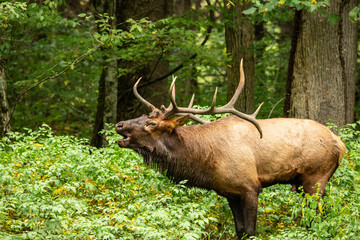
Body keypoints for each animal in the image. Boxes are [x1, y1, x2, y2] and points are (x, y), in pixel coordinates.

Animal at [116, 60, 346, 238]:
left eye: (151, 124)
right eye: (143, 116)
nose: (119, 124)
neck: (207, 161)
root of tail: (339, 143)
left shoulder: (250, 187)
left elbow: (251, 231)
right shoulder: (230, 192)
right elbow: (240, 230)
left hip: (315, 176)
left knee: (316, 217)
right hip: (302, 182)